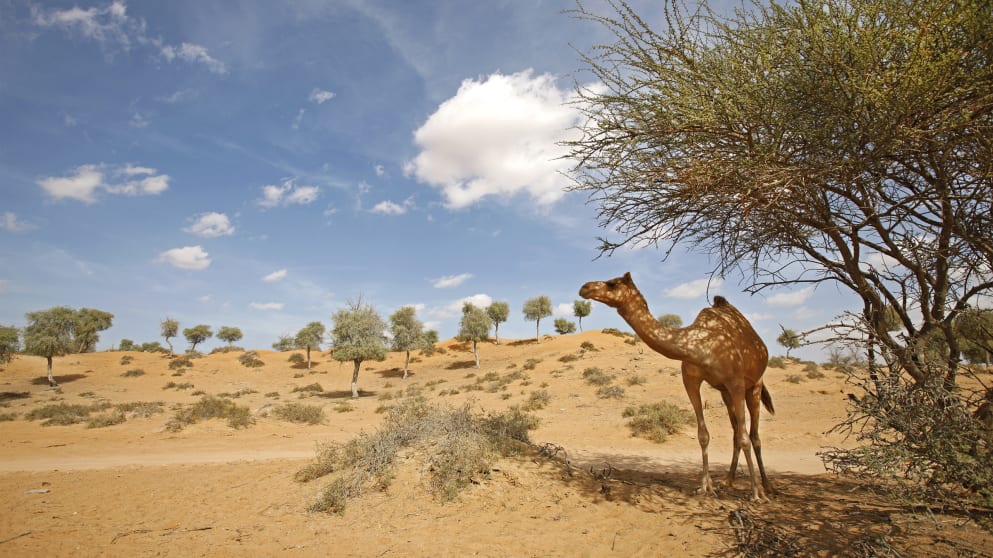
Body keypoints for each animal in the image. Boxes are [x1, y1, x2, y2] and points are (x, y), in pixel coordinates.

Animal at [579, 272, 774, 500]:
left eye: (612, 283)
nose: (584, 288)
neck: (701, 345)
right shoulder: (691, 380)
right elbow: (703, 435)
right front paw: (705, 487)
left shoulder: (735, 381)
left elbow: (745, 438)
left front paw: (756, 494)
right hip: (725, 392)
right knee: (736, 432)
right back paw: (728, 481)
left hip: (754, 384)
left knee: (753, 435)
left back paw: (766, 486)